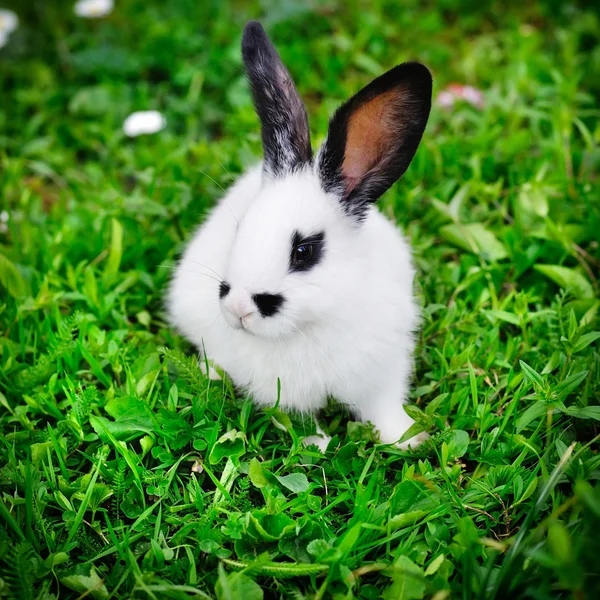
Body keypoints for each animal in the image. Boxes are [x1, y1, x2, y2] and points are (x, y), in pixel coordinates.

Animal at [168, 21, 432, 448]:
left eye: (304, 251)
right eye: (241, 227)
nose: (238, 309)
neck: (312, 322)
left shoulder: (383, 374)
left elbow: (385, 410)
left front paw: (408, 440)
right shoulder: (285, 396)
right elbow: (300, 421)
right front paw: (318, 447)